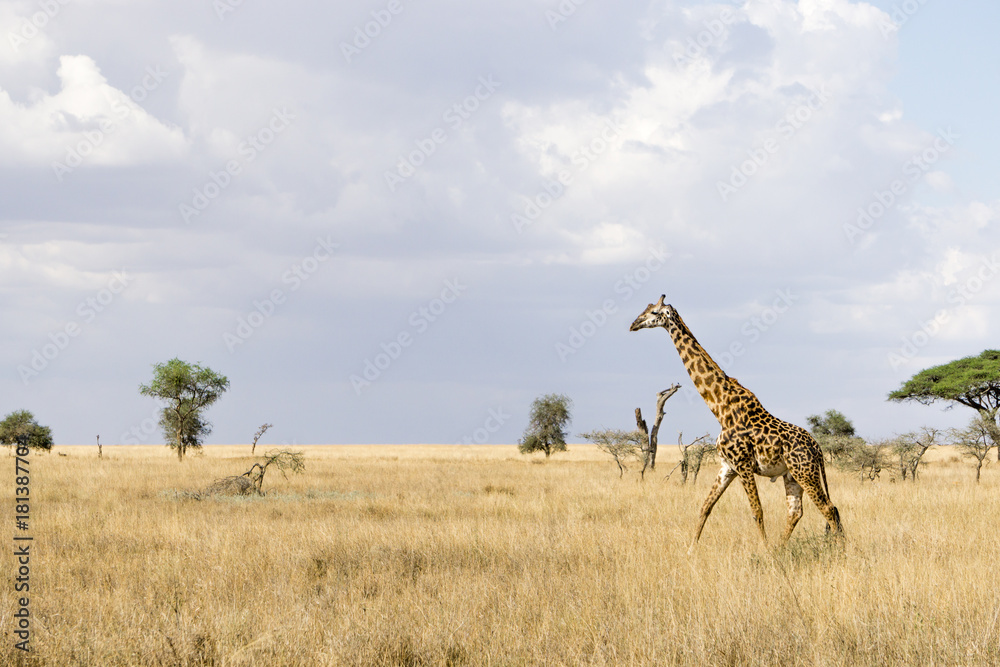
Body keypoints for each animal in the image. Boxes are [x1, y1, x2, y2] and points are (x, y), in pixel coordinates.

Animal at [629, 296, 843, 551]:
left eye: (653, 312)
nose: (633, 324)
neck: (720, 409)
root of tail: (817, 448)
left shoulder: (742, 464)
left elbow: (757, 511)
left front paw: (765, 550)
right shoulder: (727, 467)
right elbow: (705, 507)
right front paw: (691, 550)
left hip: (805, 472)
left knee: (829, 508)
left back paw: (840, 551)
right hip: (791, 475)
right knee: (796, 512)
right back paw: (782, 548)